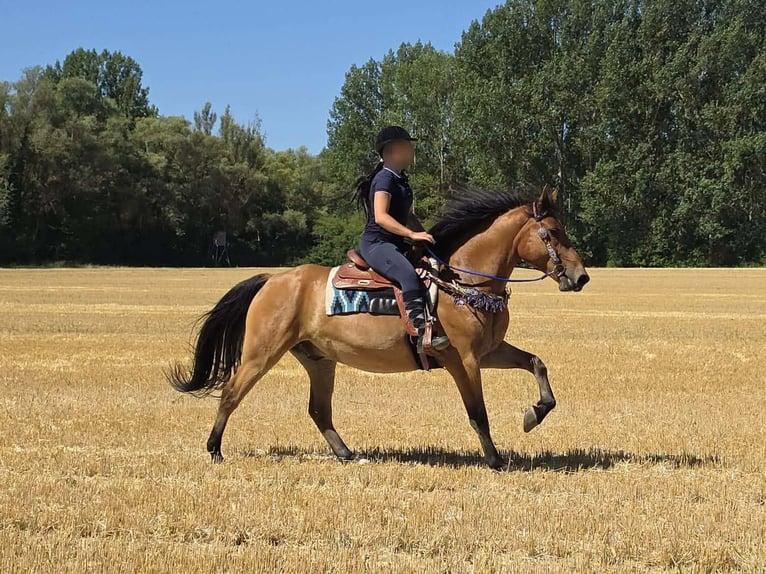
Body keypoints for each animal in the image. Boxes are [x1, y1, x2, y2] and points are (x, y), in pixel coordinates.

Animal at [167, 185, 589, 469]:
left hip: (319, 360)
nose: (580, 276)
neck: (463, 282)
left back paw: (346, 453)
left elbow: (536, 363)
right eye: (553, 233)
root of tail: (273, 279)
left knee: (319, 410)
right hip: (261, 353)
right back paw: (214, 449)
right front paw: (496, 459)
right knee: (231, 393)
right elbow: (478, 412)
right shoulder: (465, 360)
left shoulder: (489, 352)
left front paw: (535, 413)